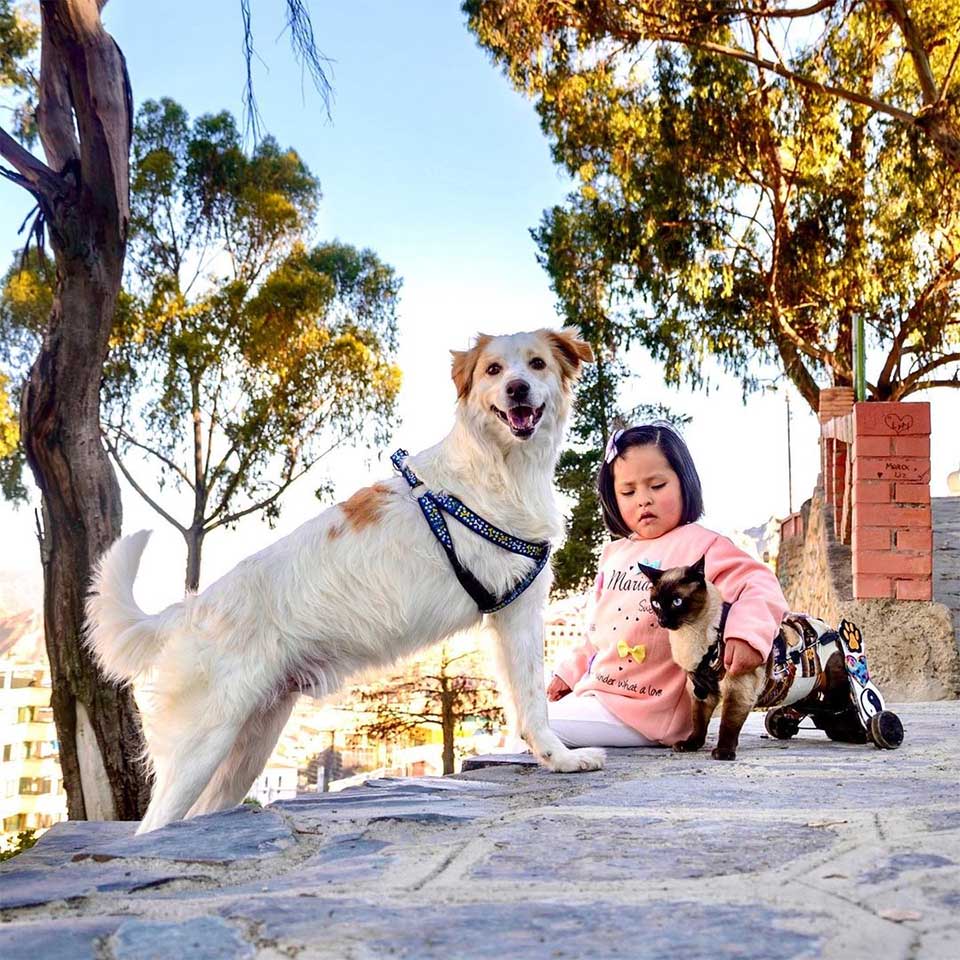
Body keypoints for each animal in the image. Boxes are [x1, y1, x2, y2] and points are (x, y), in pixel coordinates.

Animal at [86, 328, 604, 832]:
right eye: (494, 370)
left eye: (536, 364)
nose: (517, 389)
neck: (497, 467)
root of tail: (191, 609)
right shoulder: (517, 611)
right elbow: (534, 699)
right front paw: (561, 758)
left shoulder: (511, 613)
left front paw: (554, 758)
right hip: (201, 747)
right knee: (152, 827)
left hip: (247, 747)